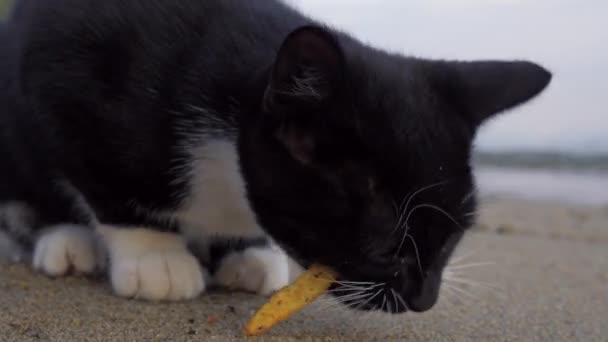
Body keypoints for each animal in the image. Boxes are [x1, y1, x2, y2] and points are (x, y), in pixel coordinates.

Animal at [0, 0, 552, 312]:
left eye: (453, 238)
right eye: (387, 251)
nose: (424, 301)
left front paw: (246, 249)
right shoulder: (62, 76)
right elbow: (104, 179)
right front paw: (155, 255)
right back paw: (66, 239)